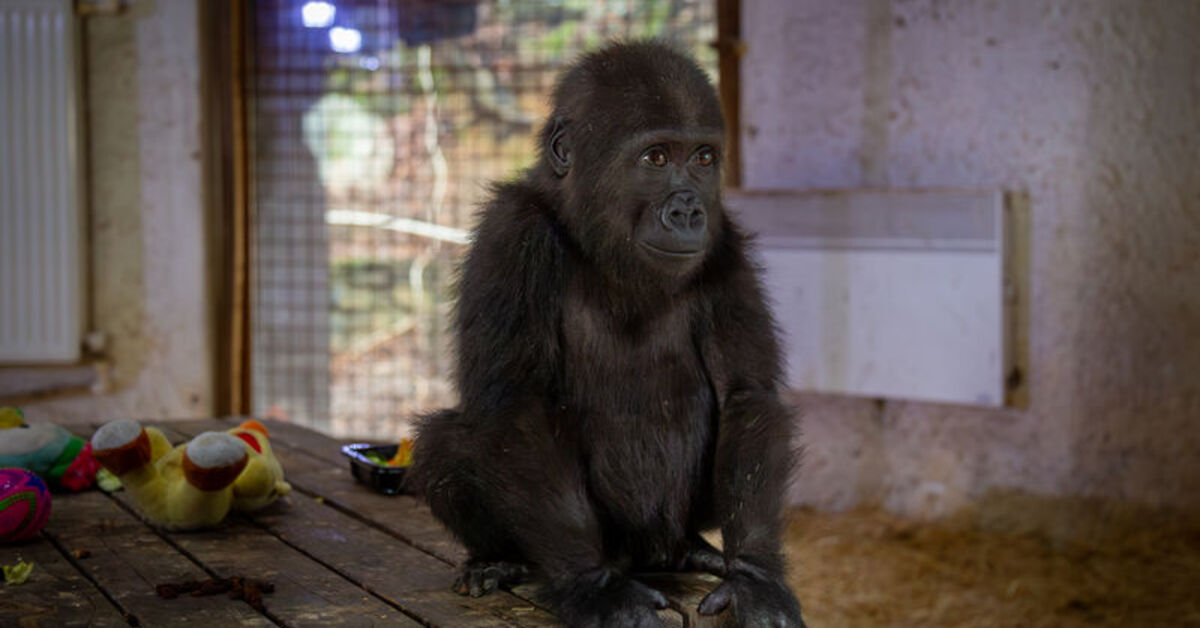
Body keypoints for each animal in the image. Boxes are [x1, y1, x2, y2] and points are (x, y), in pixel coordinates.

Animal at [408, 41, 811, 624]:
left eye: (703, 158)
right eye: (657, 158)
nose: (689, 210)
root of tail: (645, 553)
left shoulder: (726, 244)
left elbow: (747, 394)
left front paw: (755, 577)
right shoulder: (512, 235)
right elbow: (520, 407)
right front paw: (591, 587)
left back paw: (693, 550)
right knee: (444, 443)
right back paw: (503, 560)